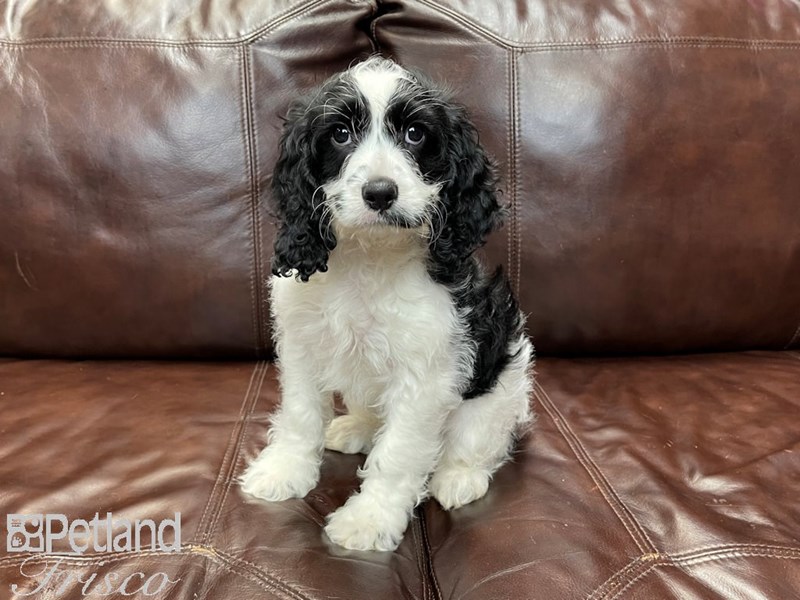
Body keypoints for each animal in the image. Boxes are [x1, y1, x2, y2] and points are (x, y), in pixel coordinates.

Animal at [241, 57, 536, 552]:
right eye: (340, 134)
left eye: (415, 134)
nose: (380, 192)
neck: (370, 255)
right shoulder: (301, 345)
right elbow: (300, 415)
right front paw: (283, 471)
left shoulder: (425, 375)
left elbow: (397, 453)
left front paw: (369, 520)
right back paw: (354, 428)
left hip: (502, 388)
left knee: (480, 443)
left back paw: (460, 478)